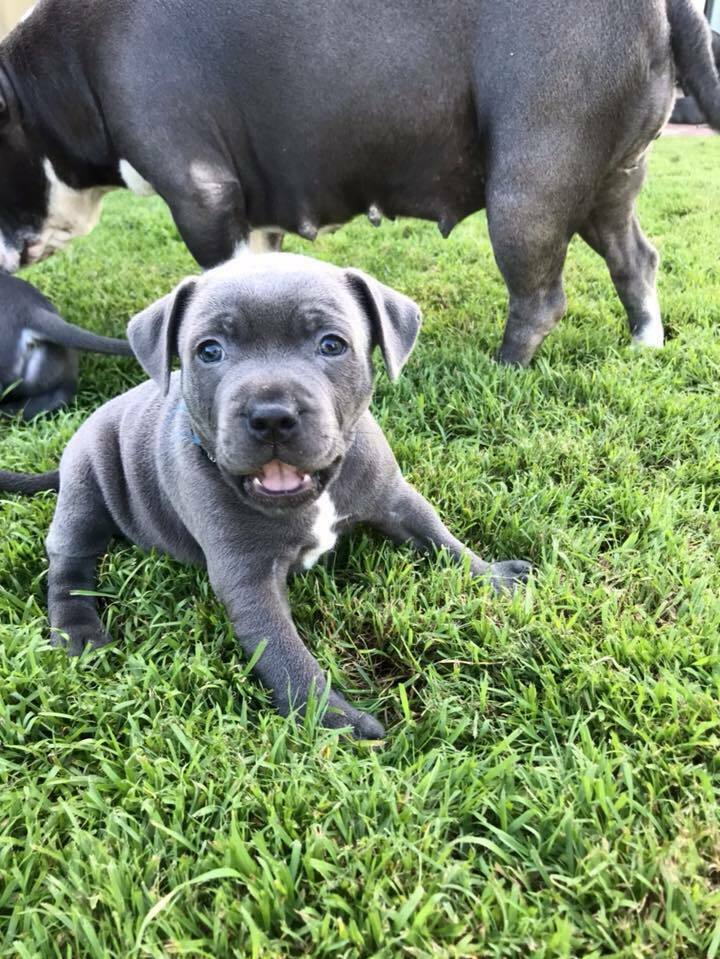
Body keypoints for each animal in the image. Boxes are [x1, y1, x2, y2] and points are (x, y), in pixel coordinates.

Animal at [1, 0, 720, 364]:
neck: (55, 78)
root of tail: (664, 5)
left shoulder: (200, 194)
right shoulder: (248, 209)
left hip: (530, 186)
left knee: (540, 298)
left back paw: (502, 366)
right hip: (608, 182)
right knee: (635, 259)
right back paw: (646, 342)